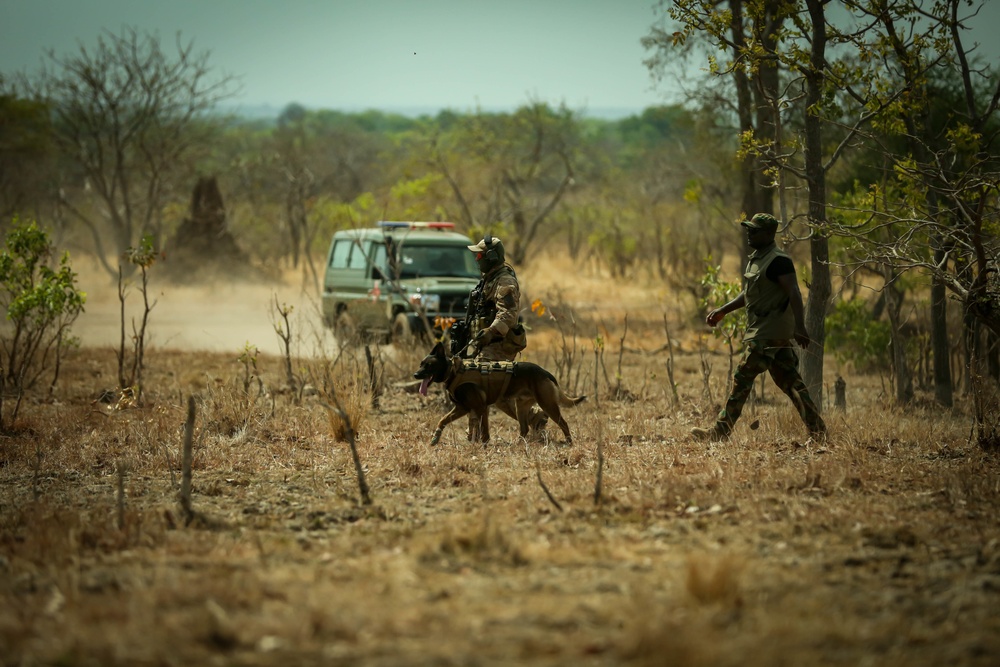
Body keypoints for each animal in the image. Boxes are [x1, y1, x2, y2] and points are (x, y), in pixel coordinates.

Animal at [414, 342, 584, 446]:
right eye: (421, 364)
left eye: (429, 366)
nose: (415, 374)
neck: (453, 372)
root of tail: (546, 372)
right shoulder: (462, 408)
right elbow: (442, 420)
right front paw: (435, 438)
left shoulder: (480, 408)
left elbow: (484, 431)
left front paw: (484, 446)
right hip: (520, 407)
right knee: (524, 428)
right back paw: (519, 445)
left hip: (547, 404)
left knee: (563, 423)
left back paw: (569, 443)